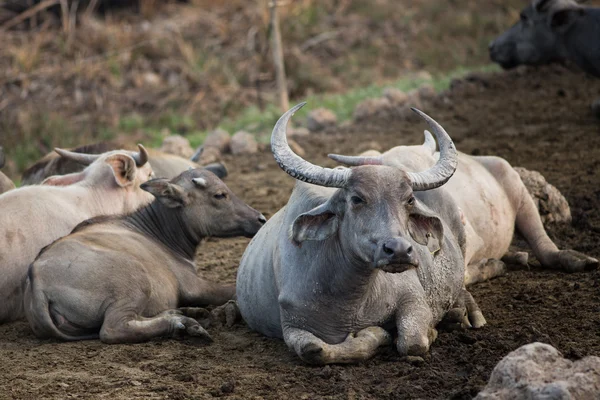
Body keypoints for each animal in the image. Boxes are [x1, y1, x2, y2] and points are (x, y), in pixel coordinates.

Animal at [25, 167, 264, 342]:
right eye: (219, 195)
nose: (260, 218)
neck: (159, 234)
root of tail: (37, 278)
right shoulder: (193, 286)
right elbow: (232, 290)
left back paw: (187, 315)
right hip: (135, 280)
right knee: (113, 329)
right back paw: (181, 324)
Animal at [234, 104, 596, 366]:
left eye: (408, 200)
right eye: (356, 199)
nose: (399, 251)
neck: (351, 296)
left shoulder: (414, 300)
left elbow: (412, 342)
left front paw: (422, 333)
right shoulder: (293, 328)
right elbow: (316, 351)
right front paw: (373, 337)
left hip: (512, 191)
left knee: (534, 249)